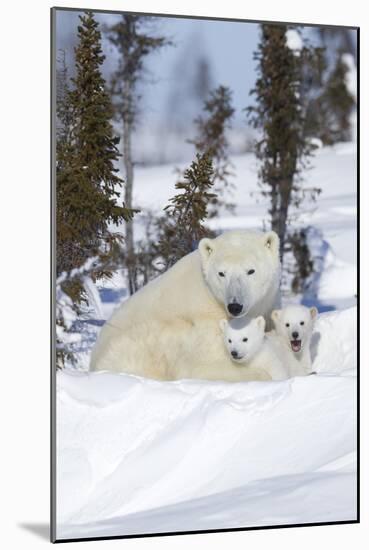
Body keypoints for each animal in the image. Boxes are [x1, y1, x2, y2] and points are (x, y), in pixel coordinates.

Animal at [90, 231, 280, 382]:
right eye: (221, 273)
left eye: (251, 271)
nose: (235, 306)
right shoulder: (206, 322)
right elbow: (202, 365)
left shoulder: (266, 305)